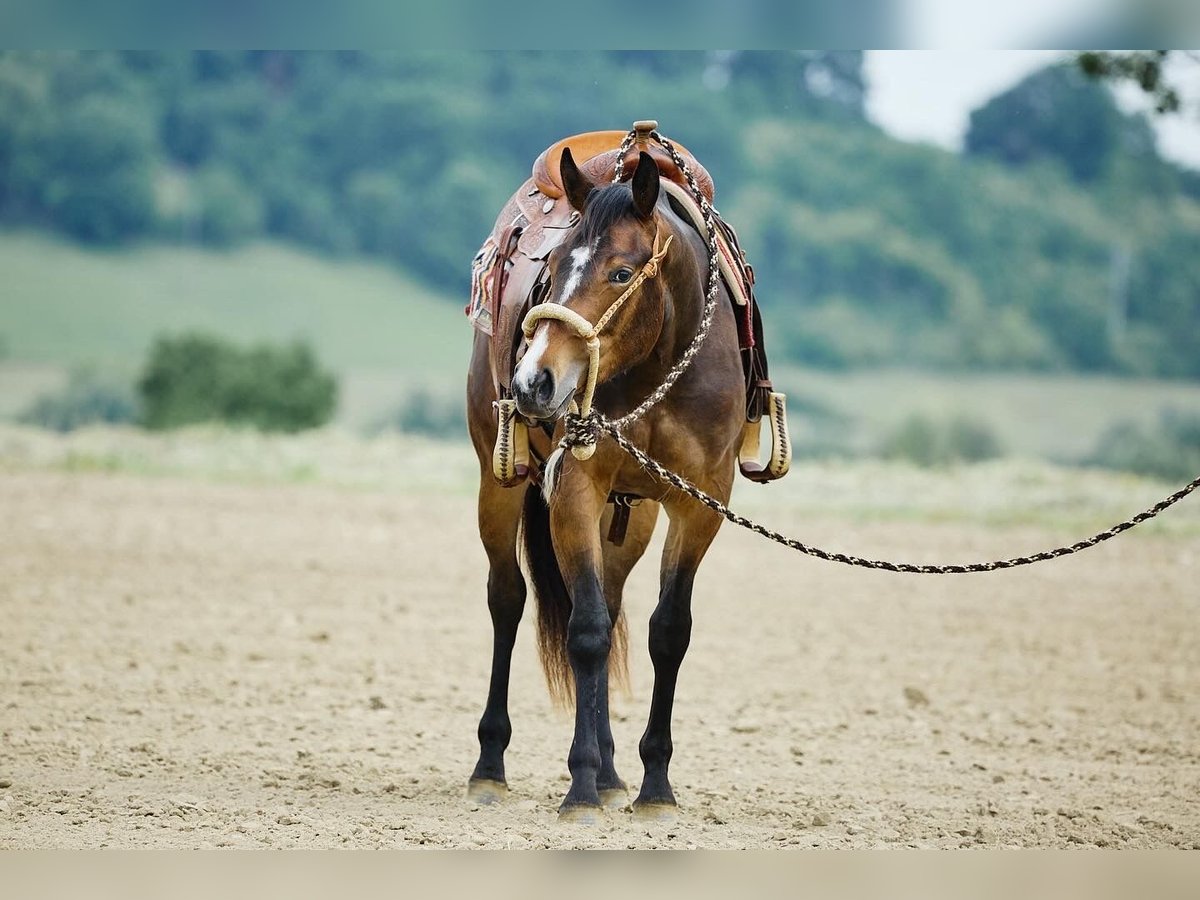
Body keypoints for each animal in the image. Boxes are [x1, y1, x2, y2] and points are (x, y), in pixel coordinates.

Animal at [463, 144, 744, 820]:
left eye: (620, 274)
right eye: (554, 267)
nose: (533, 382)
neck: (658, 366)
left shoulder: (701, 504)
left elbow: (667, 632)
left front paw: (655, 783)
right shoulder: (575, 492)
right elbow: (585, 631)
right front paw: (581, 784)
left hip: (633, 516)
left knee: (612, 605)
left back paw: (617, 773)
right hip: (497, 481)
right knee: (509, 600)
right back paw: (492, 766)